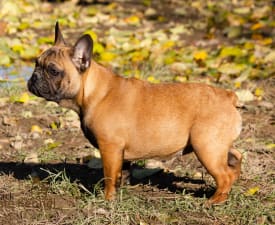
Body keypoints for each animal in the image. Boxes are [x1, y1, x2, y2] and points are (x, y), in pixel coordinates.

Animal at [28, 22, 244, 205]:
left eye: (53, 70)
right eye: (36, 63)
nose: (34, 77)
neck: (93, 92)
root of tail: (228, 96)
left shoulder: (110, 148)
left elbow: (109, 176)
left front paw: (107, 199)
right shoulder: (119, 152)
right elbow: (119, 174)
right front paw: (120, 192)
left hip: (206, 147)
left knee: (224, 176)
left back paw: (215, 200)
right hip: (216, 144)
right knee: (235, 156)